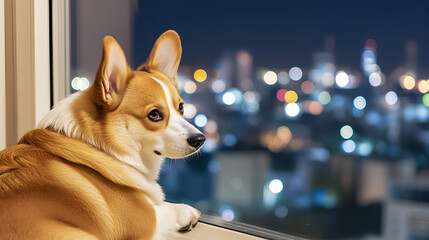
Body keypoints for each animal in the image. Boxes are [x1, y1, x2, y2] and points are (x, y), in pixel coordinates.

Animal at [0, 31, 206, 239]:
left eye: (181, 107)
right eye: (154, 114)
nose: (200, 140)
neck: (99, 146)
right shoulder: (142, 219)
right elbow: (166, 210)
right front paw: (187, 211)